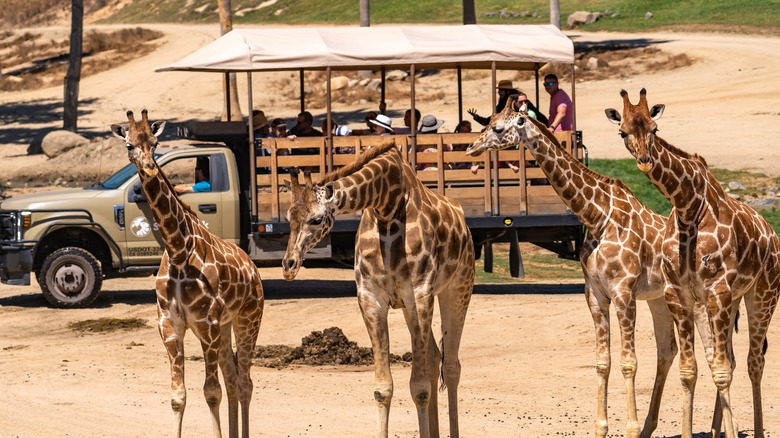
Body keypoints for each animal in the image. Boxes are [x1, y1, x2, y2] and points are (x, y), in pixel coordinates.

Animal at [111, 110, 266, 438]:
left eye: (155, 142)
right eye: (129, 144)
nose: (149, 168)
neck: (178, 251)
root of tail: (253, 268)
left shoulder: (206, 324)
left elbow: (211, 392)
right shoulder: (170, 327)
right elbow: (178, 396)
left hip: (248, 319)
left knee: (245, 382)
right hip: (225, 328)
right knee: (233, 381)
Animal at [282, 142, 476, 436]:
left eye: (316, 219)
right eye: (287, 217)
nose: (288, 265)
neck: (387, 206)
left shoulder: (420, 294)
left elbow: (419, 388)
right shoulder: (371, 298)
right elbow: (382, 388)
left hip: (458, 287)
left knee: (452, 365)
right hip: (412, 306)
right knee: (434, 358)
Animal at [464, 96, 712, 438]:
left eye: (499, 128)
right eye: (487, 123)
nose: (471, 148)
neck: (596, 216)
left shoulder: (623, 292)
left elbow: (628, 362)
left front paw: (630, 428)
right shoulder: (595, 293)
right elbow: (602, 362)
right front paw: (602, 427)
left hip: (694, 299)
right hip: (660, 299)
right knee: (668, 350)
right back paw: (651, 426)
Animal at [608, 87, 780, 436]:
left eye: (654, 128)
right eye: (623, 132)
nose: (644, 161)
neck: (688, 206)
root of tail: (772, 232)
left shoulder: (717, 290)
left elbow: (720, 369)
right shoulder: (679, 293)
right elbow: (690, 370)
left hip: (764, 294)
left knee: (754, 362)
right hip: (733, 299)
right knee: (732, 358)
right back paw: (716, 429)